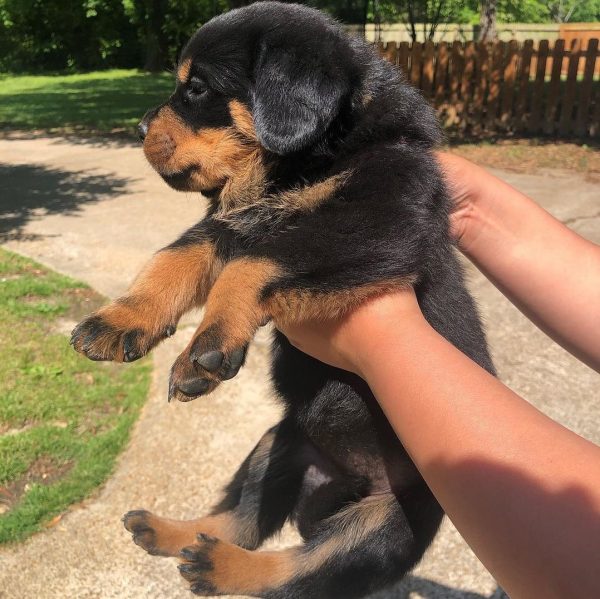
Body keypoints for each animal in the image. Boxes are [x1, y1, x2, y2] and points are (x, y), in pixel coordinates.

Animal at [70, 2, 494, 596]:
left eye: (197, 88)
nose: (137, 129)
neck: (311, 160)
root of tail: (337, 485)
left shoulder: (374, 224)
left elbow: (257, 263)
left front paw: (207, 347)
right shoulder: (231, 225)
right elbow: (174, 257)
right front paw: (119, 320)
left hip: (386, 521)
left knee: (295, 570)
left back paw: (220, 566)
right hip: (279, 446)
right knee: (241, 522)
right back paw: (169, 533)